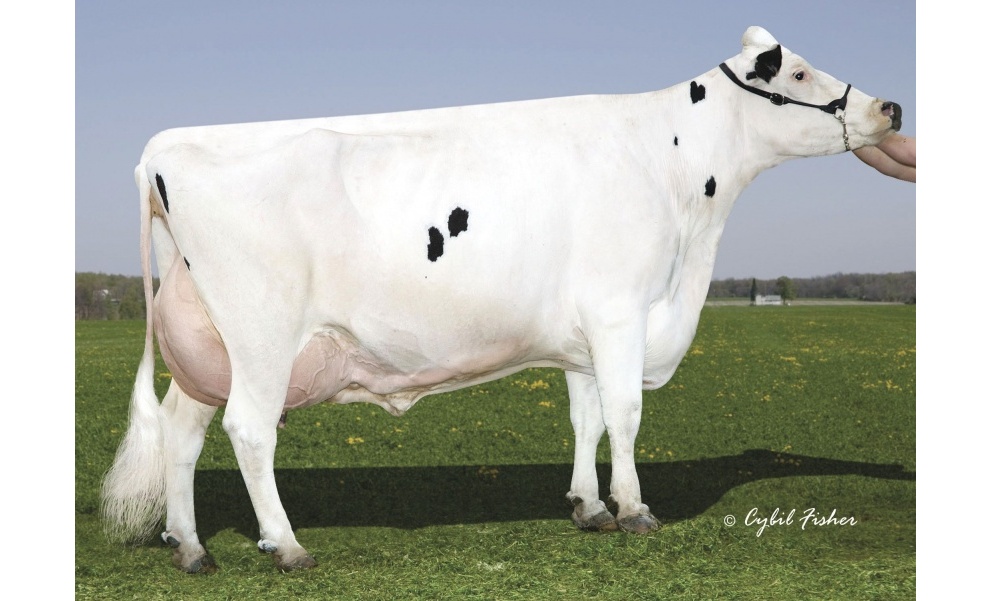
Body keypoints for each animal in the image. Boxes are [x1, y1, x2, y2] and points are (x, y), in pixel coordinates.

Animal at [101, 26, 903, 573]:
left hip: (207, 344)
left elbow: (586, 416)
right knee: (249, 430)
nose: (891, 107)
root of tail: (165, 148)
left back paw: (192, 547)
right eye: (797, 70)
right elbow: (625, 412)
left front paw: (589, 506)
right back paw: (287, 544)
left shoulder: (583, 330)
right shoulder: (620, 309)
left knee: (181, 432)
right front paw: (636, 508)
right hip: (263, 335)